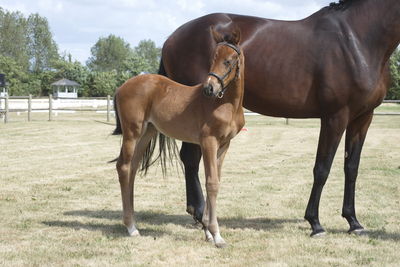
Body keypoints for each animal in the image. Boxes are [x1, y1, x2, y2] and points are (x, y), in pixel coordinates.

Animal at [158, 0, 398, 239]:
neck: (356, 39)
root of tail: (171, 38)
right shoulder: (335, 116)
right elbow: (322, 168)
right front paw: (315, 223)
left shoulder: (363, 117)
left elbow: (352, 168)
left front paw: (353, 221)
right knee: (191, 158)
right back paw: (201, 215)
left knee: (189, 158)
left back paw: (198, 214)